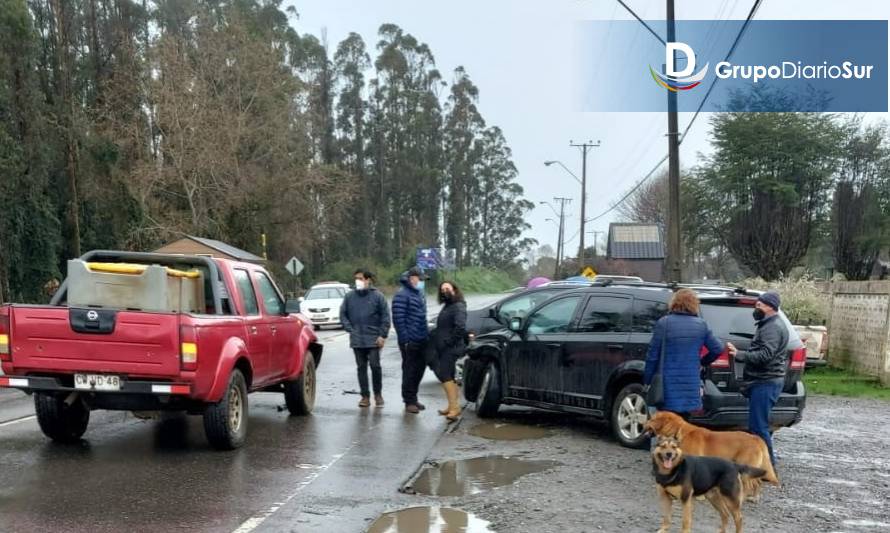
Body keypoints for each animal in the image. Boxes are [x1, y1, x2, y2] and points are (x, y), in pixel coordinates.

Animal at [644, 408, 776, 498]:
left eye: (651, 419)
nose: (643, 424)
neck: (678, 431)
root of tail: (756, 438)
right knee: (758, 482)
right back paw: (754, 497)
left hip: (745, 466)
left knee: (752, 484)